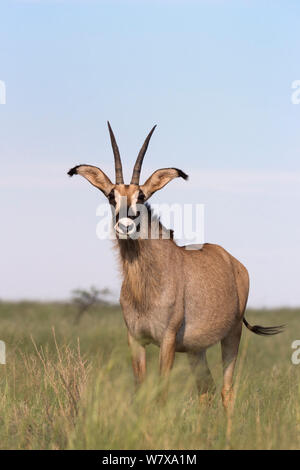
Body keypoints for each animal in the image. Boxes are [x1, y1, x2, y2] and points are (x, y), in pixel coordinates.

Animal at [68, 123, 284, 410]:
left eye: (141, 195)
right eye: (111, 195)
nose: (125, 225)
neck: (146, 283)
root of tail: (234, 263)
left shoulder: (167, 340)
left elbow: (161, 394)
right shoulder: (135, 340)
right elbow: (140, 392)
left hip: (232, 334)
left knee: (226, 391)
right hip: (196, 350)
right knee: (206, 391)